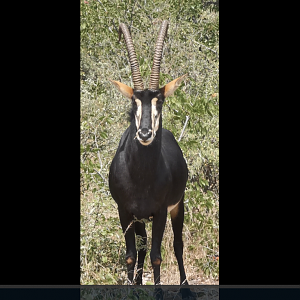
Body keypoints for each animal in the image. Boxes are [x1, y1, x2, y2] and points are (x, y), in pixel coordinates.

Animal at [109, 20, 193, 298]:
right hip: (140, 218)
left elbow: (157, 255)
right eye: (134, 102)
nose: (145, 133)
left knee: (177, 245)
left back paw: (186, 288)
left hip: (178, 207)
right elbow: (131, 254)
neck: (141, 176)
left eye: (160, 102)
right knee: (143, 246)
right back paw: (137, 282)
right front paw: (132, 288)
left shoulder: (160, 212)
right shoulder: (125, 210)